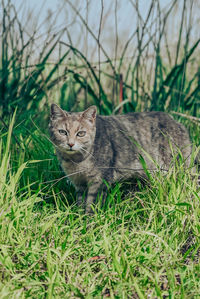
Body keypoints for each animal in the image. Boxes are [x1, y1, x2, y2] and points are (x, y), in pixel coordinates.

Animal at [48, 104, 192, 214]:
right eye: (62, 132)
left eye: (81, 133)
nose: (71, 144)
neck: (76, 161)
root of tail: (178, 123)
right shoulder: (80, 184)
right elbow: (80, 204)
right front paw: (78, 218)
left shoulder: (98, 182)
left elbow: (91, 205)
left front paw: (88, 225)